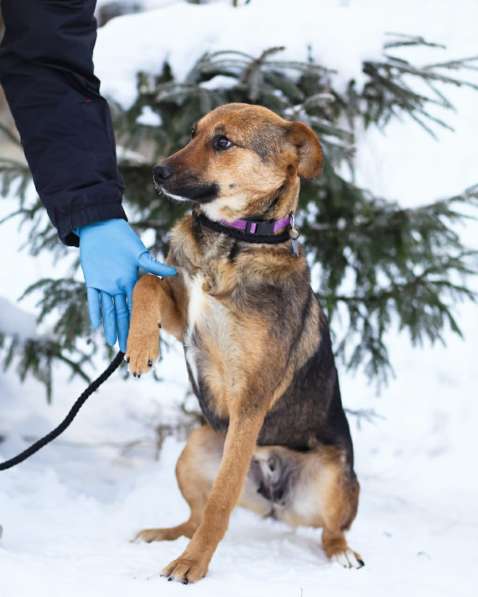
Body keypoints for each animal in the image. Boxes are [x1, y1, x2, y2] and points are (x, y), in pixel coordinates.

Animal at [126, 102, 362, 584]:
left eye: (223, 142)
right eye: (192, 133)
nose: (157, 172)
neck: (233, 241)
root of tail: (273, 500)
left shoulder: (250, 398)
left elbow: (222, 499)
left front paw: (193, 565)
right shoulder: (183, 318)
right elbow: (147, 281)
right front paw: (141, 346)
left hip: (336, 476)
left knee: (330, 530)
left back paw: (342, 554)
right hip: (196, 446)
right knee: (194, 517)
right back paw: (163, 533)